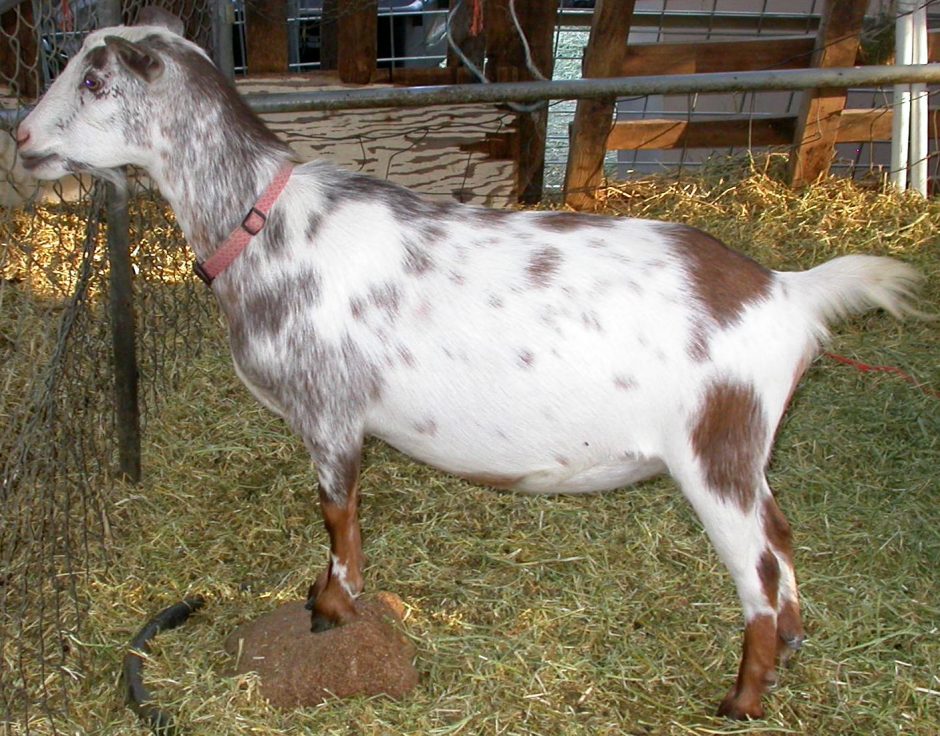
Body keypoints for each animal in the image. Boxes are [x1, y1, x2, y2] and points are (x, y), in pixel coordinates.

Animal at [15, 16, 925, 720]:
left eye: (94, 81)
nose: (22, 138)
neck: (264, 226)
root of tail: (787, 291)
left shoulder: (330, 412)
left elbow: (338, 516)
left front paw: (331, 606)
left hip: (715, 450)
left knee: (758, 573)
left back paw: (743, 699)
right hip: (747, 451)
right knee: (783, 533)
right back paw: (795, 641)